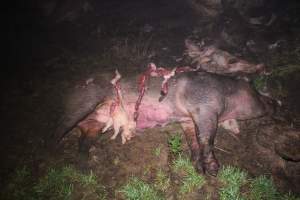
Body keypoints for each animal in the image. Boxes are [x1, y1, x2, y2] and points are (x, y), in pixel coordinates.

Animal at [75, 71, 272, 176]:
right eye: (256, 90)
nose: (275, 102)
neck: (227, 94)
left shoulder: (187, 120)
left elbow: (194, 140)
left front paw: (198, 169)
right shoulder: (205, 109)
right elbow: (206, 138)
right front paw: (214, 171)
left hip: (93, 126)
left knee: (84, 139)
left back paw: (84, 160)